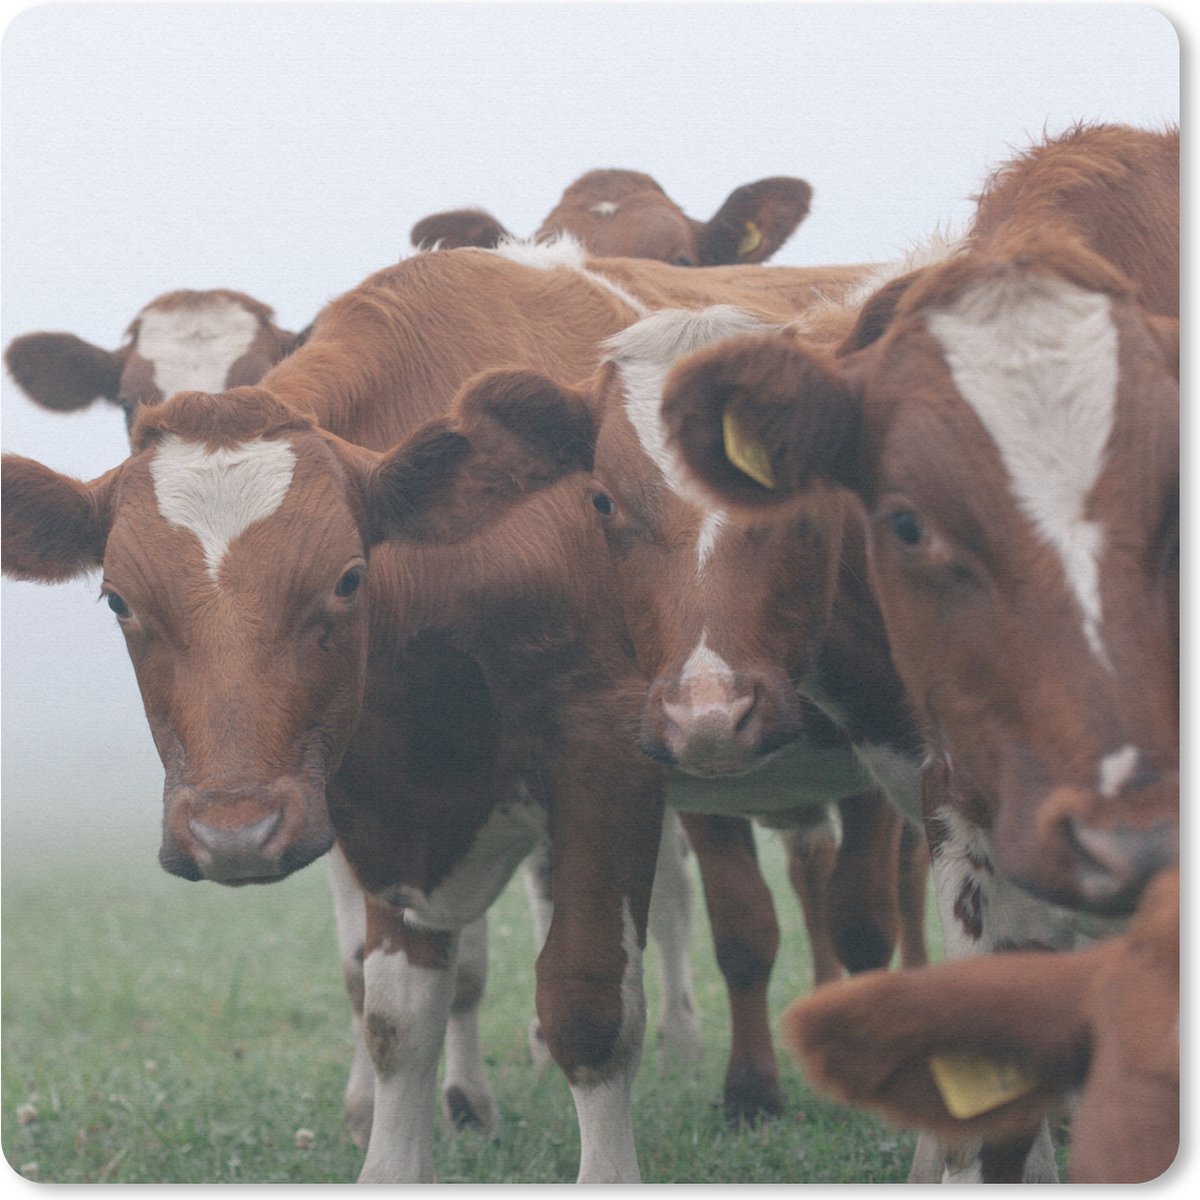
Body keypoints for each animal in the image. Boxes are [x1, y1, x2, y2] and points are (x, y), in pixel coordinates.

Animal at [2, 240, 876, 1182]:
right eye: (120, 601)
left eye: (348, 579)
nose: (233, 833)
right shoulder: (375, 795)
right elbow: (396, 1010)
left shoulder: (607, 761)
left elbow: (588, 1003)